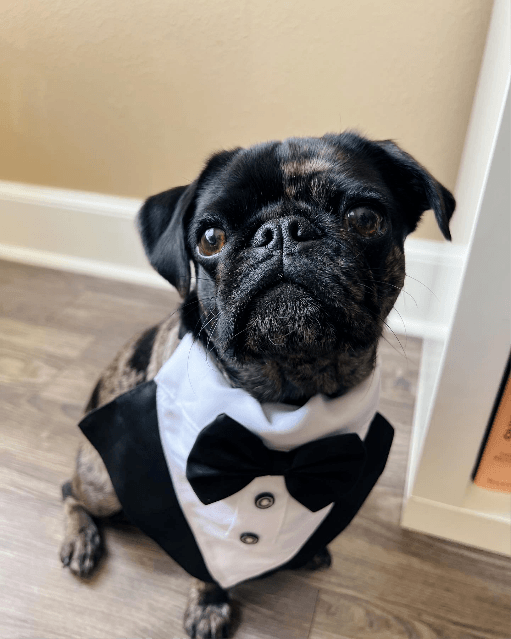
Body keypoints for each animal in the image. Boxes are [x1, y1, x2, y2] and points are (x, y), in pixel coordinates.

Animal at [60, 132, 456, 636]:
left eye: (364, 219)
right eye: (210, 238)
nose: (282, 230)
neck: (286, 393)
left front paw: (306, 552)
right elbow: (208, 562)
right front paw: (210, 603)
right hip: (103, 483)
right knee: (70, 491)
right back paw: (81, 537)